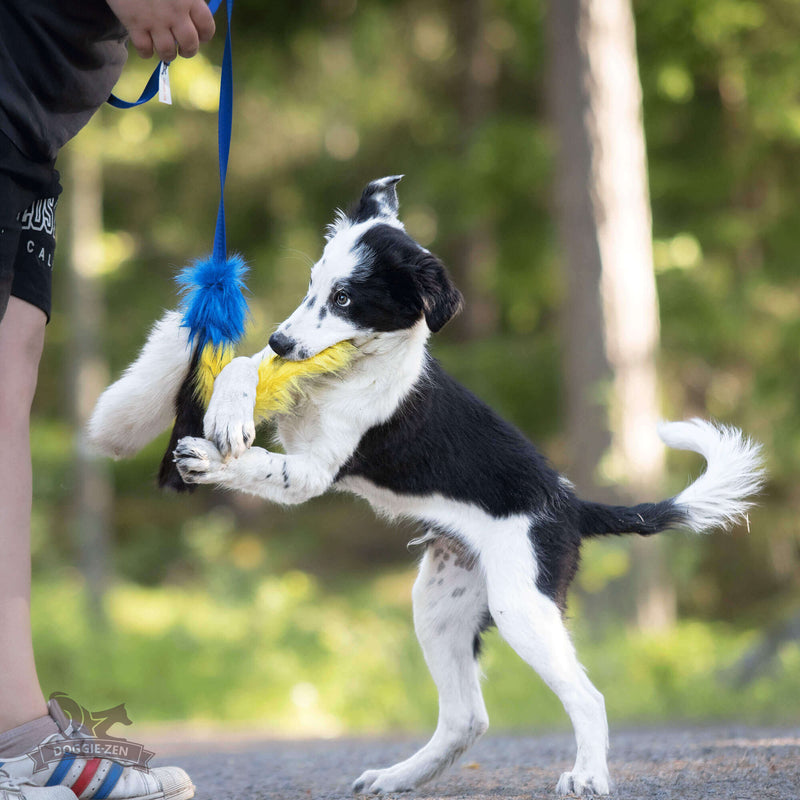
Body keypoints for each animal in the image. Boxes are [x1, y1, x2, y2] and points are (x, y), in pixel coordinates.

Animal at [173, 178, 764, 796]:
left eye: (345, 299)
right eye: (313, 286)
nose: (281, 339)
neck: (349, 372)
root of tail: (573, 505)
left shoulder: (311, 472)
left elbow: (264, 463)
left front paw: (210, 459)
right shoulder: (286, 382)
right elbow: (243, 365)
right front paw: (227, 415)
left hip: (521, 605)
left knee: (588, 697)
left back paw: (587, 776)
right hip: (440, 603)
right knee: (467, 717)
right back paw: (399, 776)